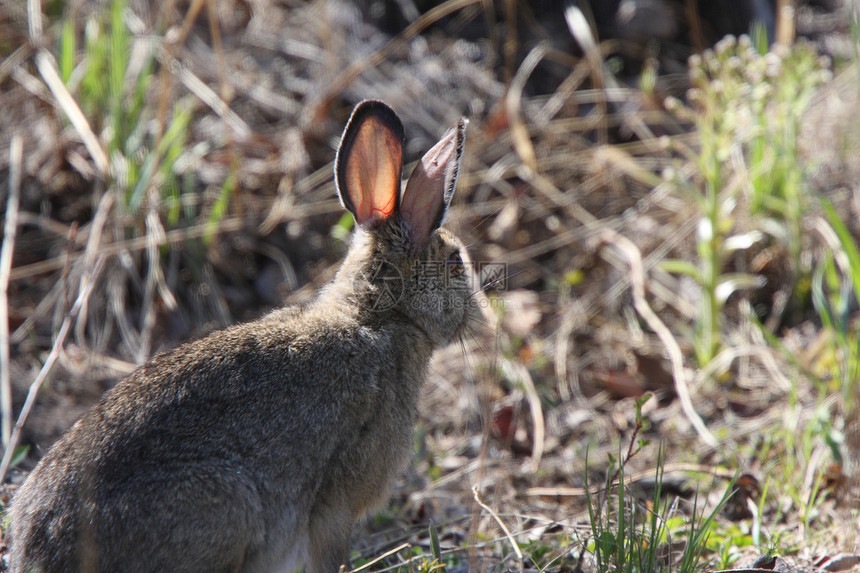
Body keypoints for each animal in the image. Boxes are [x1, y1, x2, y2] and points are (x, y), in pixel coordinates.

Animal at [8, 100, 478, 572]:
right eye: (456, 263)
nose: (479, 311)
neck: (376, 317)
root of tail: (44, 549)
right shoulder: (336, 505)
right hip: (231, 508)